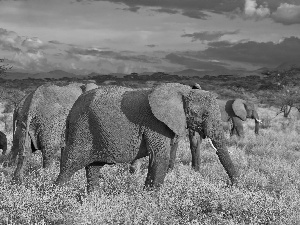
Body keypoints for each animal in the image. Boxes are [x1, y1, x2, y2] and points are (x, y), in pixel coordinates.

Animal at [54, 83, 239, 193]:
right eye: (204, 114)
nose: (231, 186)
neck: (183, 91)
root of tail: (71, 110)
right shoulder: (155, 124)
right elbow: (159, 158)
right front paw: (148, 201)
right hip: (81, 129)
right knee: (70, 165)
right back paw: (57, 196)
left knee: (93, 168)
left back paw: (94, 200)